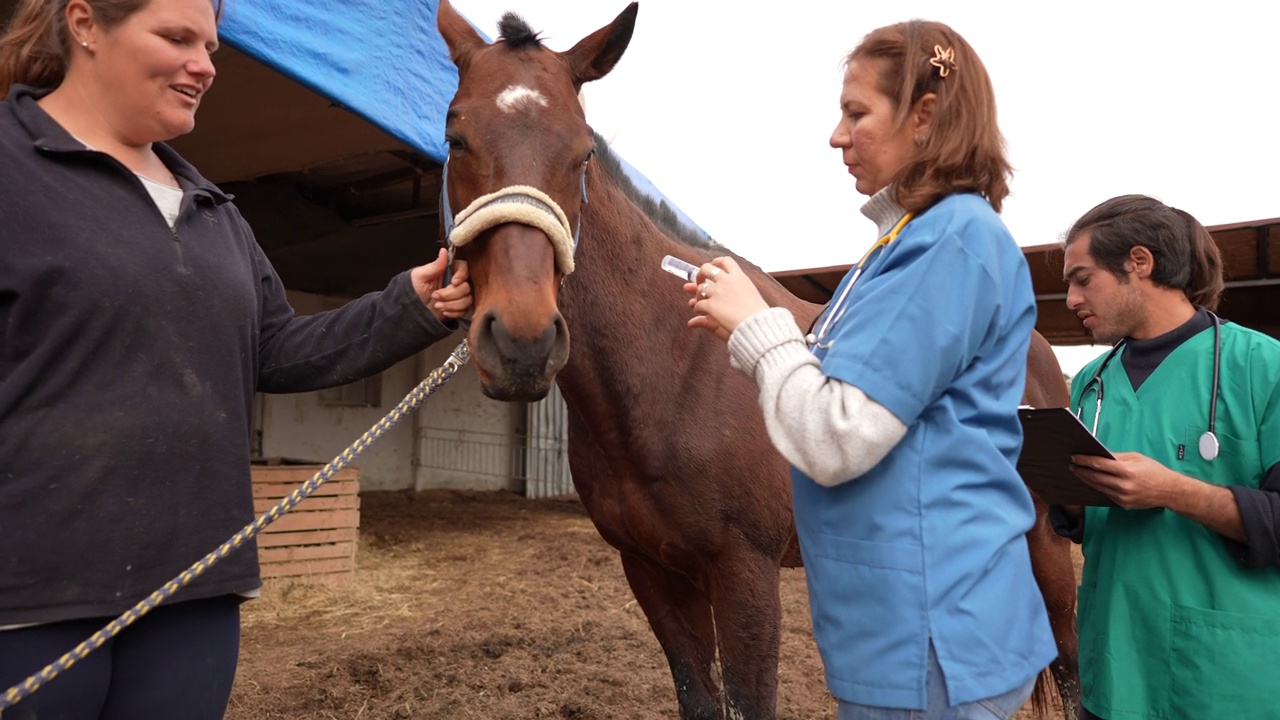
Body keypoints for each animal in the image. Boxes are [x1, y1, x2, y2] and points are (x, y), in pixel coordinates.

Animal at [435, 2, 1075, 712]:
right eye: (455, 138)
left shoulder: (746, 571)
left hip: (1048, 547)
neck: (669, 371)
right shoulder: (652, 571)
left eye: (584, 151)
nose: (522, 342)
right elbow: (698, 695)